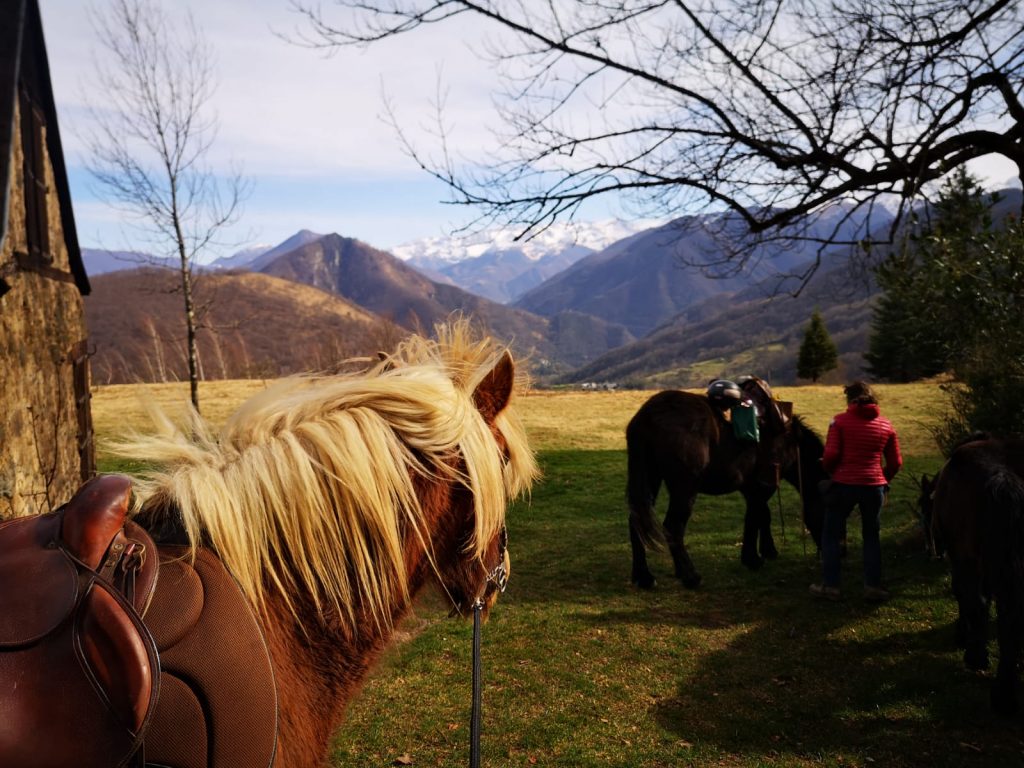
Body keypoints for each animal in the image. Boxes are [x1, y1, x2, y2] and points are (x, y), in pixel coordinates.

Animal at [622, 393, 831, 593]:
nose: (831, 553)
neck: (790, 443)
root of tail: (647, 417)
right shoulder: (763, 486)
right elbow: (756, 517)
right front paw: (753, 558)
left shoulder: (751, 489)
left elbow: (761, 516)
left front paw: (766, 551)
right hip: (684, 489)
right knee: (673, 527)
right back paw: (690, 576)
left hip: (649, 479)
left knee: (637, 521)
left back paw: (644, 577)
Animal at [921, 436, 1024, 720]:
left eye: (925, 508)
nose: (931, 548)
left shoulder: (963, 558)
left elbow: (966, 596)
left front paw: (967, 640)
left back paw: (1002, 695)